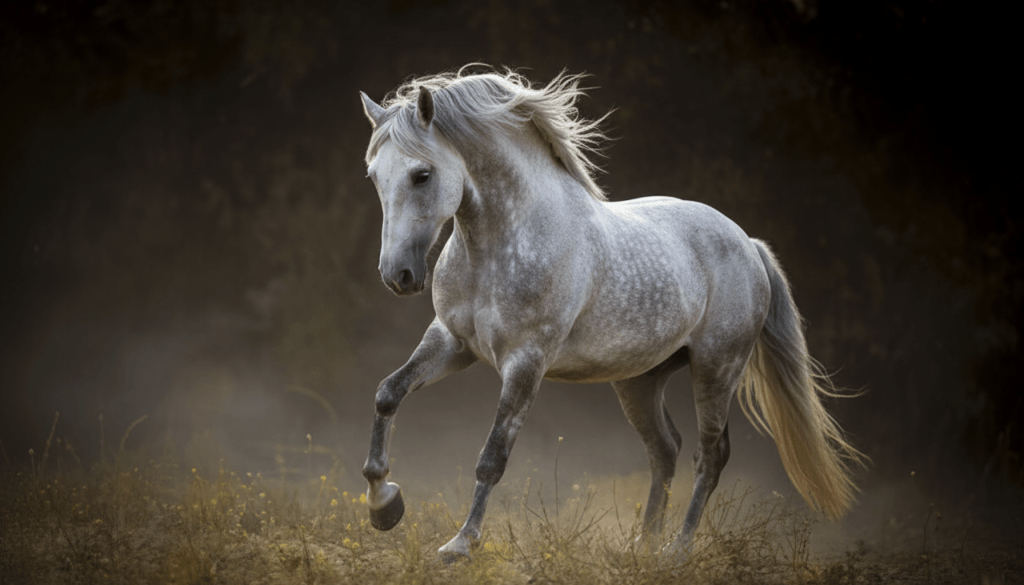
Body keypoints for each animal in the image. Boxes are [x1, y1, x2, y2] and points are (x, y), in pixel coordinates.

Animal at [357, 66, 864, 562]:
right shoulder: (452, 342)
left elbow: (493, 455)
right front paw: (385, 506)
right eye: (375, 177)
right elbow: (387, 393)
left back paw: (677, 550)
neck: (501, 246)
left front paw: (461, 543)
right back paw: (642, 545)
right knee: (666, 449)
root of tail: (747, 242)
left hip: (717, 368)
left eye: (422, 174)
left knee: (710, 454)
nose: (398, 275)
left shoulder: (526, 362)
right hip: (640, 380)